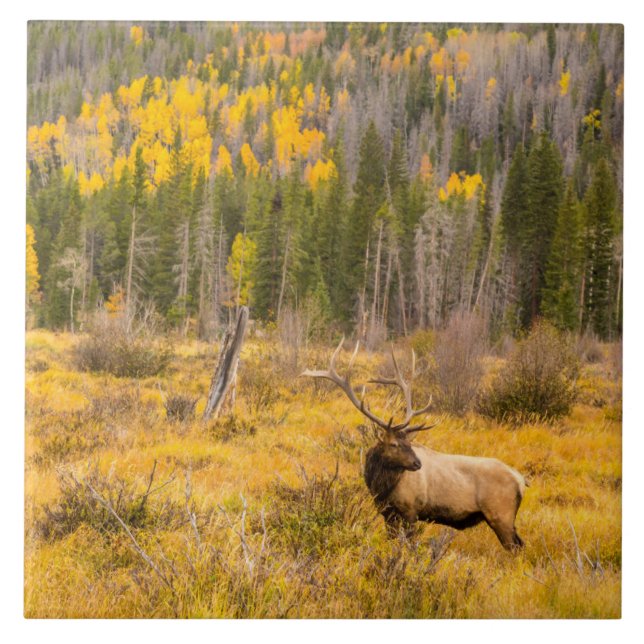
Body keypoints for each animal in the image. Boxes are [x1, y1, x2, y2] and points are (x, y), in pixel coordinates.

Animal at [302, 339, 528, 551]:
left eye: (409, 442)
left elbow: (408, 544)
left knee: (516, 546)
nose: (417, 464)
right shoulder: (387, 512)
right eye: (394, 444)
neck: (381, 487)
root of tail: (521, 480)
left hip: (501, 514)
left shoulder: (411, 510)